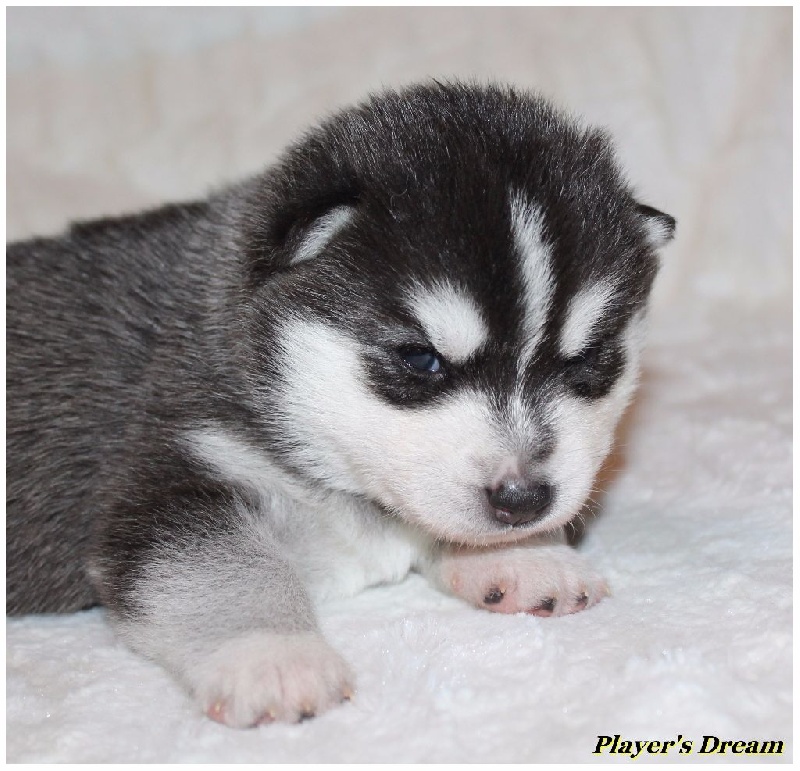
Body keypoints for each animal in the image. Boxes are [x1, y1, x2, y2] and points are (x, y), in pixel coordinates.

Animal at [6, 81, 675, 728]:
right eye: (420, 359)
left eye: (585, 361)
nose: (524, 500)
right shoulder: (177, 476)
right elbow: (223, 568)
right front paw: (274, 656)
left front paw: (528, 557)